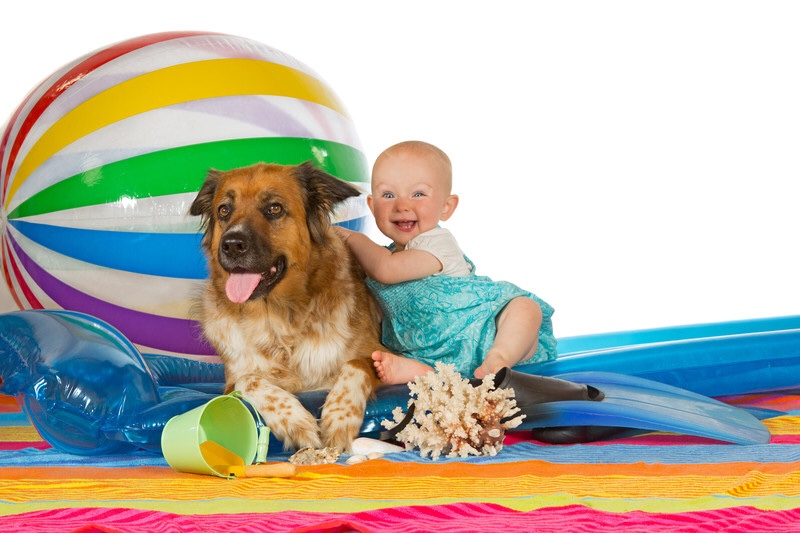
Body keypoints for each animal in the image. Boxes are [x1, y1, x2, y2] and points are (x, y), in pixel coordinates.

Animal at [189, 161, 386, 448]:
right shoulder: (231, 383)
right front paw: (293, 419)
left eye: (274, 208)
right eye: (224, 210)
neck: (279, 318)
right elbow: (250, 379)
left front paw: (339, 416)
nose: (232, 245)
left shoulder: (381, 355)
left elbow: (355, 365)